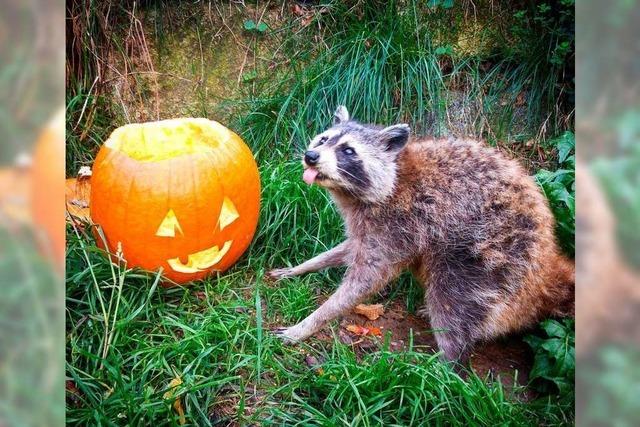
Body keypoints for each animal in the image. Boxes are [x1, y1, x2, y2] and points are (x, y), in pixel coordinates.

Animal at [266, 106, 576, 362]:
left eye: (349, 151)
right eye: (322, 140)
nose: (311, 156)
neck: (393, 177)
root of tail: (545, 266)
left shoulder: (399, 224)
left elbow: (365, 281)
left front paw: (309, 323)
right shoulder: (370, 227)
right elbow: (347, 248)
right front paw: (303, 267)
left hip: (490, 255)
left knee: (453, 299)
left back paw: (447, 364)